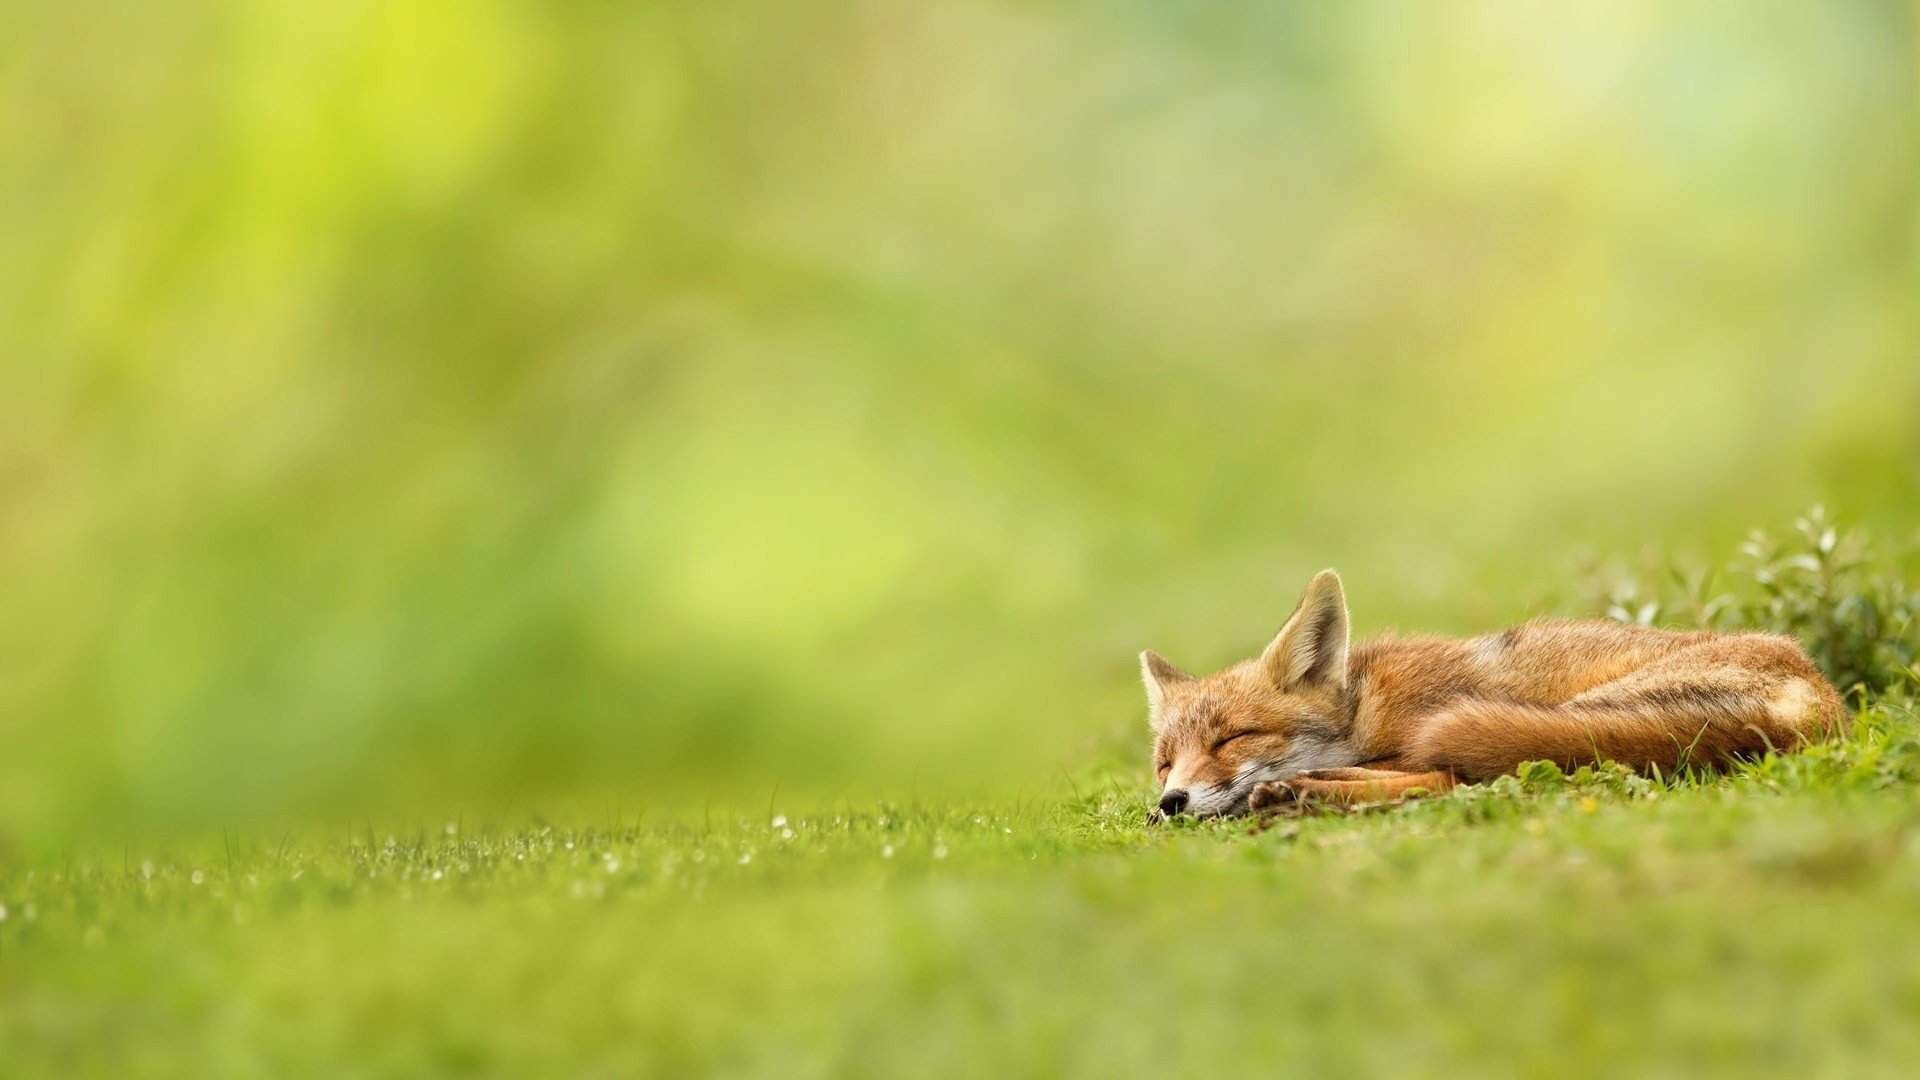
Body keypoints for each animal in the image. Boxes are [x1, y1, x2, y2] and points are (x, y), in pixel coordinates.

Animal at [1136, 568, 1843, 810]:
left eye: (1233, 738)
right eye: (1165, 763)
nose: (1171, 801)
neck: (1365, 708)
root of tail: (1820, 697)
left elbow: (1432, 773)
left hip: (1572, 718)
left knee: (1459, 779)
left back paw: (1301, 793)